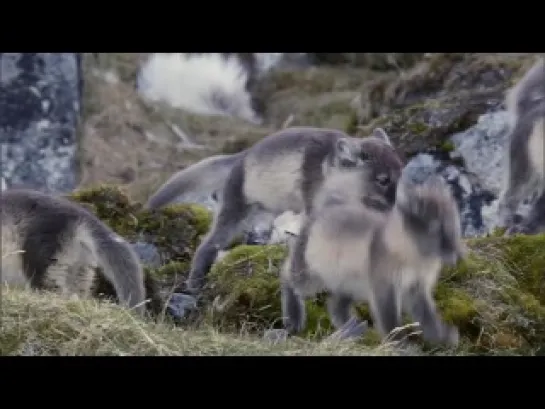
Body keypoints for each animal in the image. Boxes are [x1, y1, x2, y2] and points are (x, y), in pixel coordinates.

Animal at [144, 126, 404, 292]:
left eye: (401, 173)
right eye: (383, 180)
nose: (399, 207)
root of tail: (242, 156)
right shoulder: (313, 209)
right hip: (235, 212)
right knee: (207, 245)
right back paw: (194, 283)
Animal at [280, 174, 464, 346]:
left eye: (455, 224)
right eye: (435, 228)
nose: (459, 254)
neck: (416, 260)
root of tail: (320, 211)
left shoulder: (417, 288)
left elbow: (428, 317)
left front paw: (441, 337)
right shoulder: (384, 288)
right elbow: (390, 320)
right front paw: (400, 345)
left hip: (348, 284)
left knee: (335, 306)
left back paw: (353, 330)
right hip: (309, 277)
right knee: (286, 273)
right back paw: (293, 318)